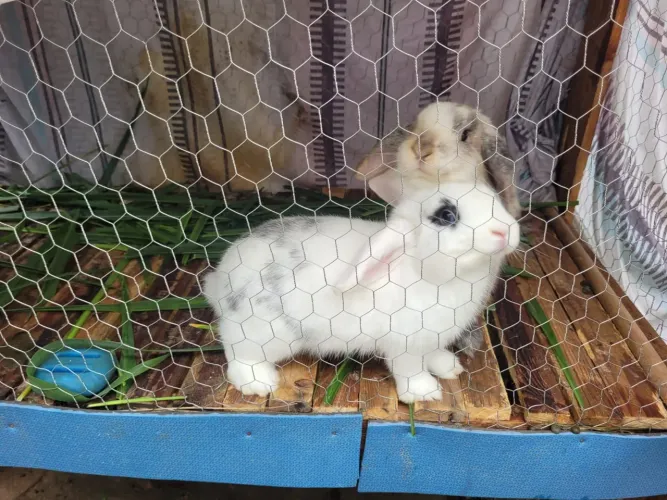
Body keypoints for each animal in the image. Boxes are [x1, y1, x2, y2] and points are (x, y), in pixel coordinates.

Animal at [203, 176, 520, 403]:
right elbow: (410, 370)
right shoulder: (404, 345)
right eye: (446, 215)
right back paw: (258, 383)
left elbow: (433, 355)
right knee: (236, 351)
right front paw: (424, 393)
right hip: (263, 332)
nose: (505, 230)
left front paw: (448, 366)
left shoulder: (430, 339)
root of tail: (222, 277)